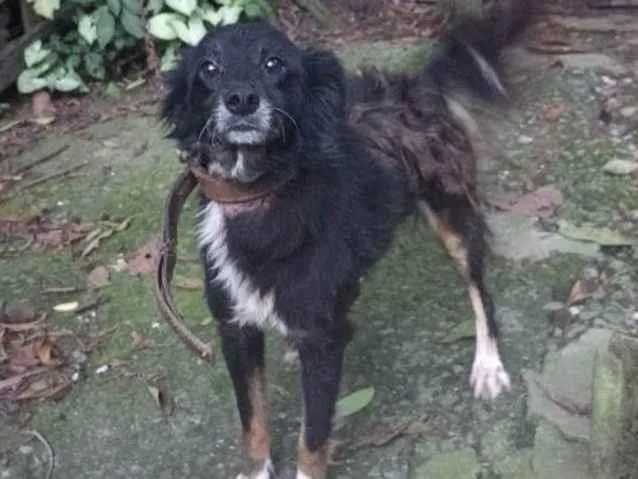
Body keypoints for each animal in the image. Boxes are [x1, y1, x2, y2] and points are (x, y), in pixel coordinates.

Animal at [161, 3, 529, 477]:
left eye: (273, 63)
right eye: (209, 68)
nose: (240, 99)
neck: (260, 193)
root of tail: (414, 84)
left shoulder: (322, 342)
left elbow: (312, 437)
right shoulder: (236, 329)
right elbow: (253, 423)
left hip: (453, 217)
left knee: (480, 289)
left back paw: (488, 364)